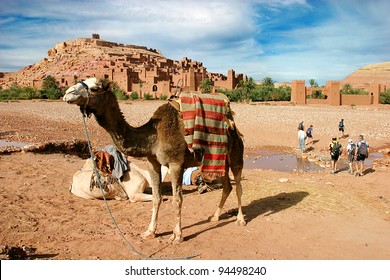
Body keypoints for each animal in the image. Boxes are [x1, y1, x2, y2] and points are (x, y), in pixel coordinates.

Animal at [64, 77, 245, 243]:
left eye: (95, 88)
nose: (68, 93)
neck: (152, 137)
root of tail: (233, 124)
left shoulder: (176, 163)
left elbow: (177, 199)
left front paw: (177, 236)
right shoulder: (153, 163)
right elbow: (156, 198)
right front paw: (150, 232)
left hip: (236, 154)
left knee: (237, 185)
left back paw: (240, 219)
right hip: (220, 159)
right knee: (227, 186)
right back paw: (214, 217)